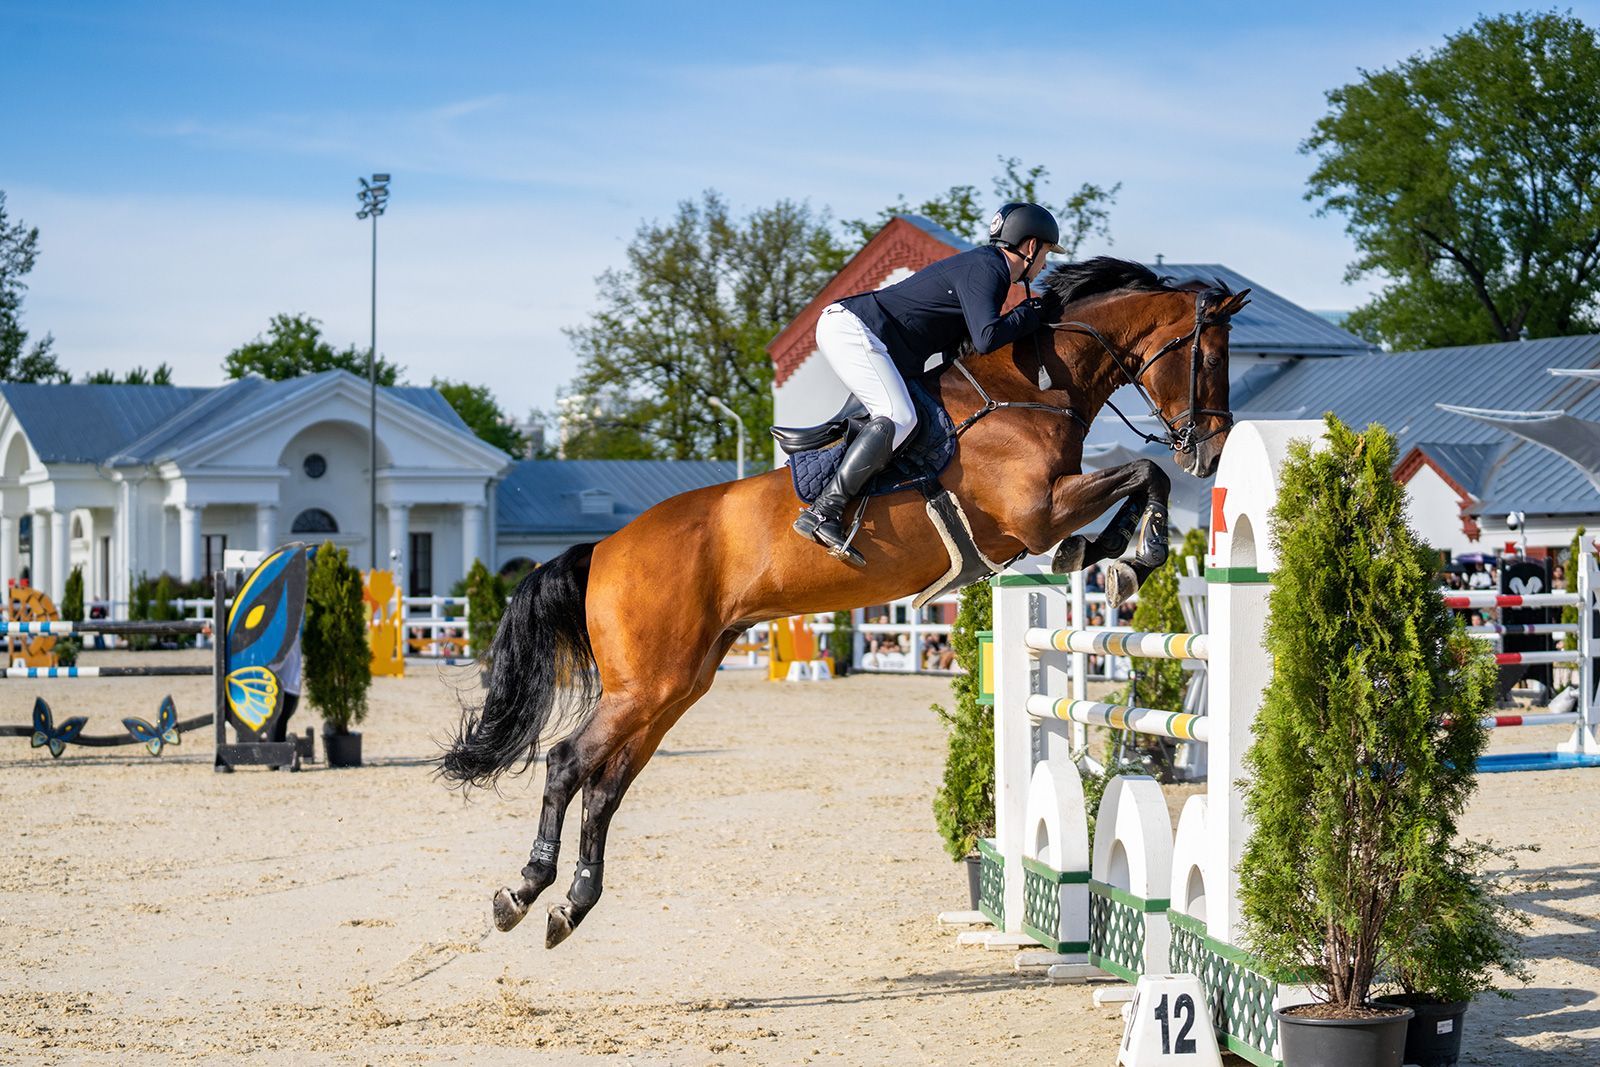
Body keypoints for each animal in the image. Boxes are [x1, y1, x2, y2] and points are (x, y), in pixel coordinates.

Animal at [441, 259, 1248, 953]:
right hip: (646, 684)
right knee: (566, 763)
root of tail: (605, 548)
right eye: (1209, 356)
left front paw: (1109, 557)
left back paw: (570, 904)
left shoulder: (1043, 515)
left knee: (605, 786)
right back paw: (523, 892)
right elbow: (1141, 472)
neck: (1030, 389)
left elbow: (1135, 480)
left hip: (674, 686)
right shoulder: (1037, 512)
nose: (1211, 453)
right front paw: (1128, 557)